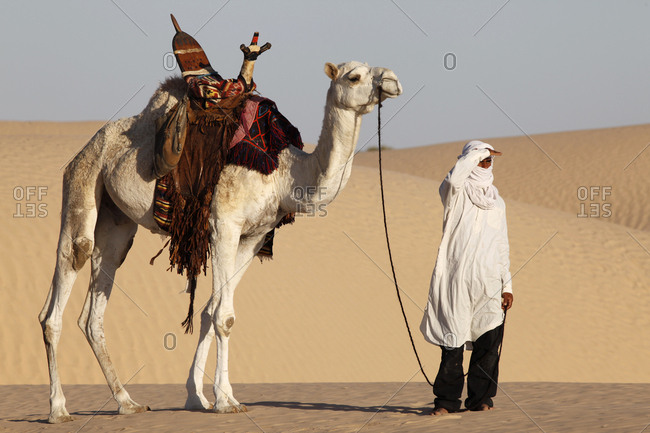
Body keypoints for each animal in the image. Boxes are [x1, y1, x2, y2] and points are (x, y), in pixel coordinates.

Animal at [39, 51, 400, 422]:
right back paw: (59, 408)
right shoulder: (223, 224)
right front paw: (226, 401)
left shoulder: (253, 236)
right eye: (354, 77)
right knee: (66, 277)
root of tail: (85, 148)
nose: (392, 81)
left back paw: (127, 402)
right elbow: (224, 317)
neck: (285, 173)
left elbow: (210, 313)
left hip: (117, 222)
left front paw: (199, 397)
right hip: (83, 180)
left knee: (94, 306)